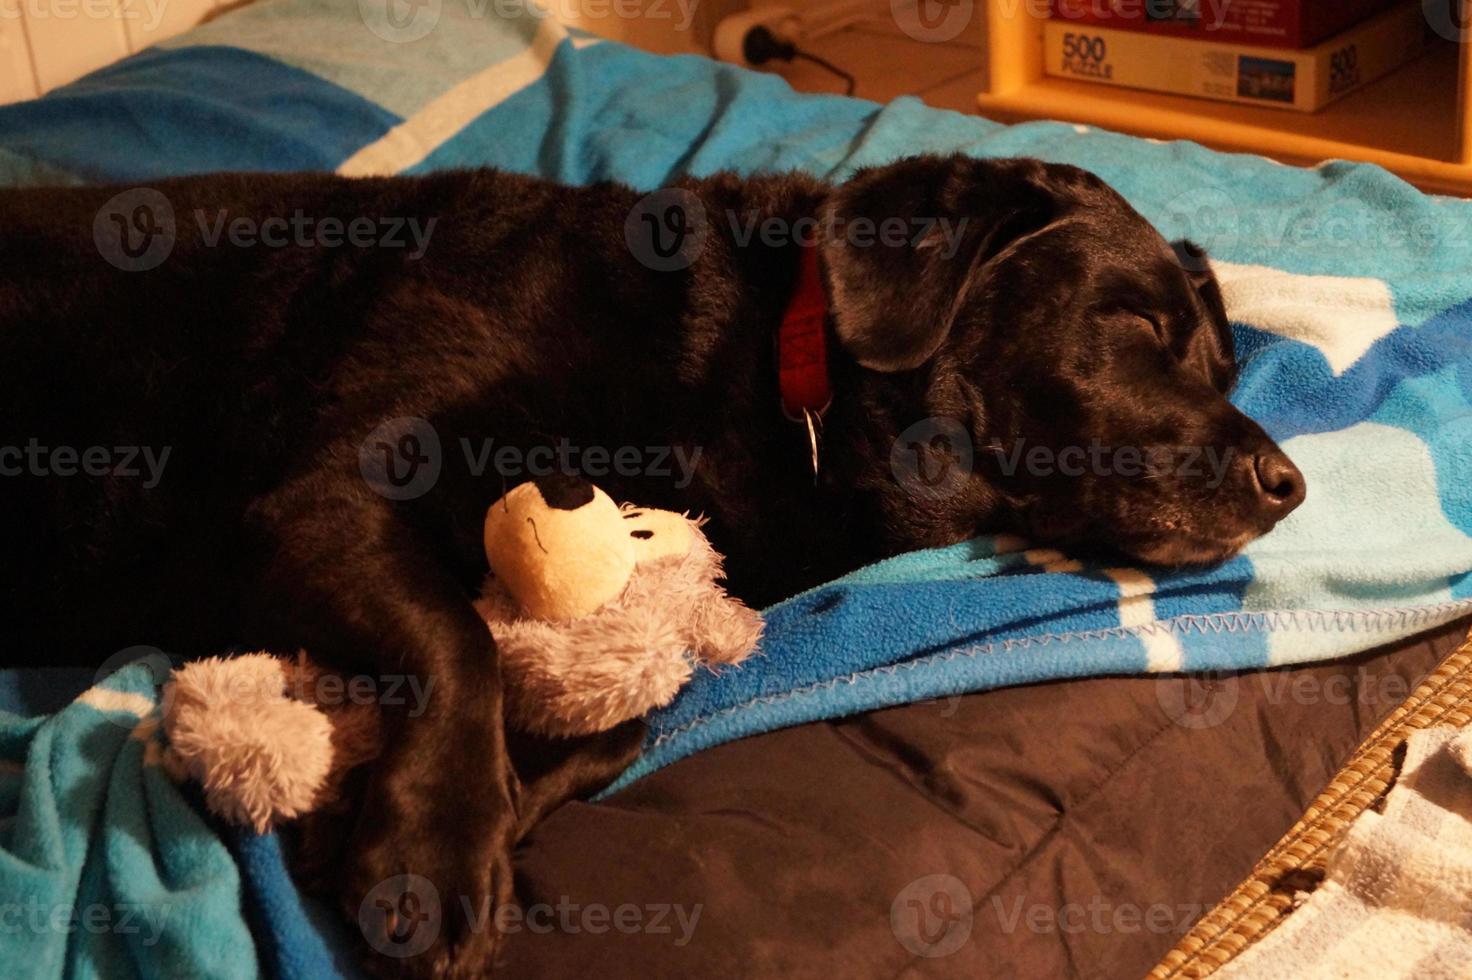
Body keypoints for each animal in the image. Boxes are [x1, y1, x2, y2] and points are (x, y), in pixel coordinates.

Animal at [0, 153, 1301, 971]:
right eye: (1129, 328)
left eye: (1219, 366)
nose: (1288, 484)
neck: (765, 361)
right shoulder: (325, 495)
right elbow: (456, 639)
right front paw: (431, 851)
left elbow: (624, 717)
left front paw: (409, 813)